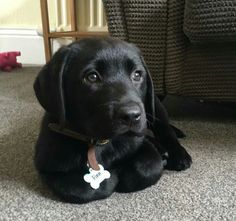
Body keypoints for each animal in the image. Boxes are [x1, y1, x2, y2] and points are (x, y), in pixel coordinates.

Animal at [33, 36, 192, 204]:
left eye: (137, 75)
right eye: (92, 76)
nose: (132, 115)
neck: (101, 142)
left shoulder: (142, 146)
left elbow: (149, 168)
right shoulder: (47, 167)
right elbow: (79, 188)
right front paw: (112, 177)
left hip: (154, 105)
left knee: (166, 131)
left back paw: (178, 154)